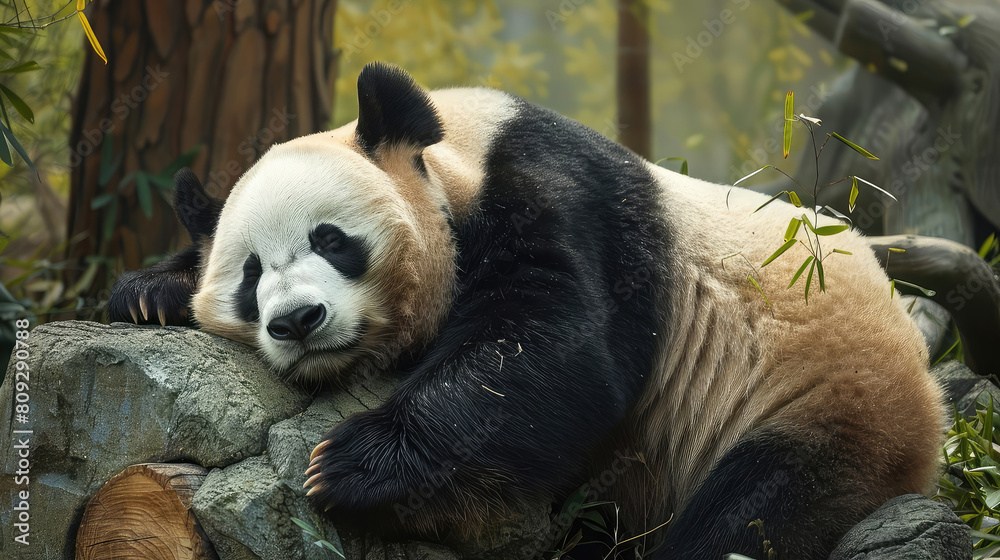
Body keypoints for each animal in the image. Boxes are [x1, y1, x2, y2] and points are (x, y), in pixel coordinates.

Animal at [108, 62, 945, 559]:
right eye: (250, 278)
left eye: (331, 239)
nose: (297, 321)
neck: (455, 156)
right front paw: (148, 295)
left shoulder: (567, 197)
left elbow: (552, 349)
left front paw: (348, 464)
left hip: (826, 402)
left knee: (756, 514)